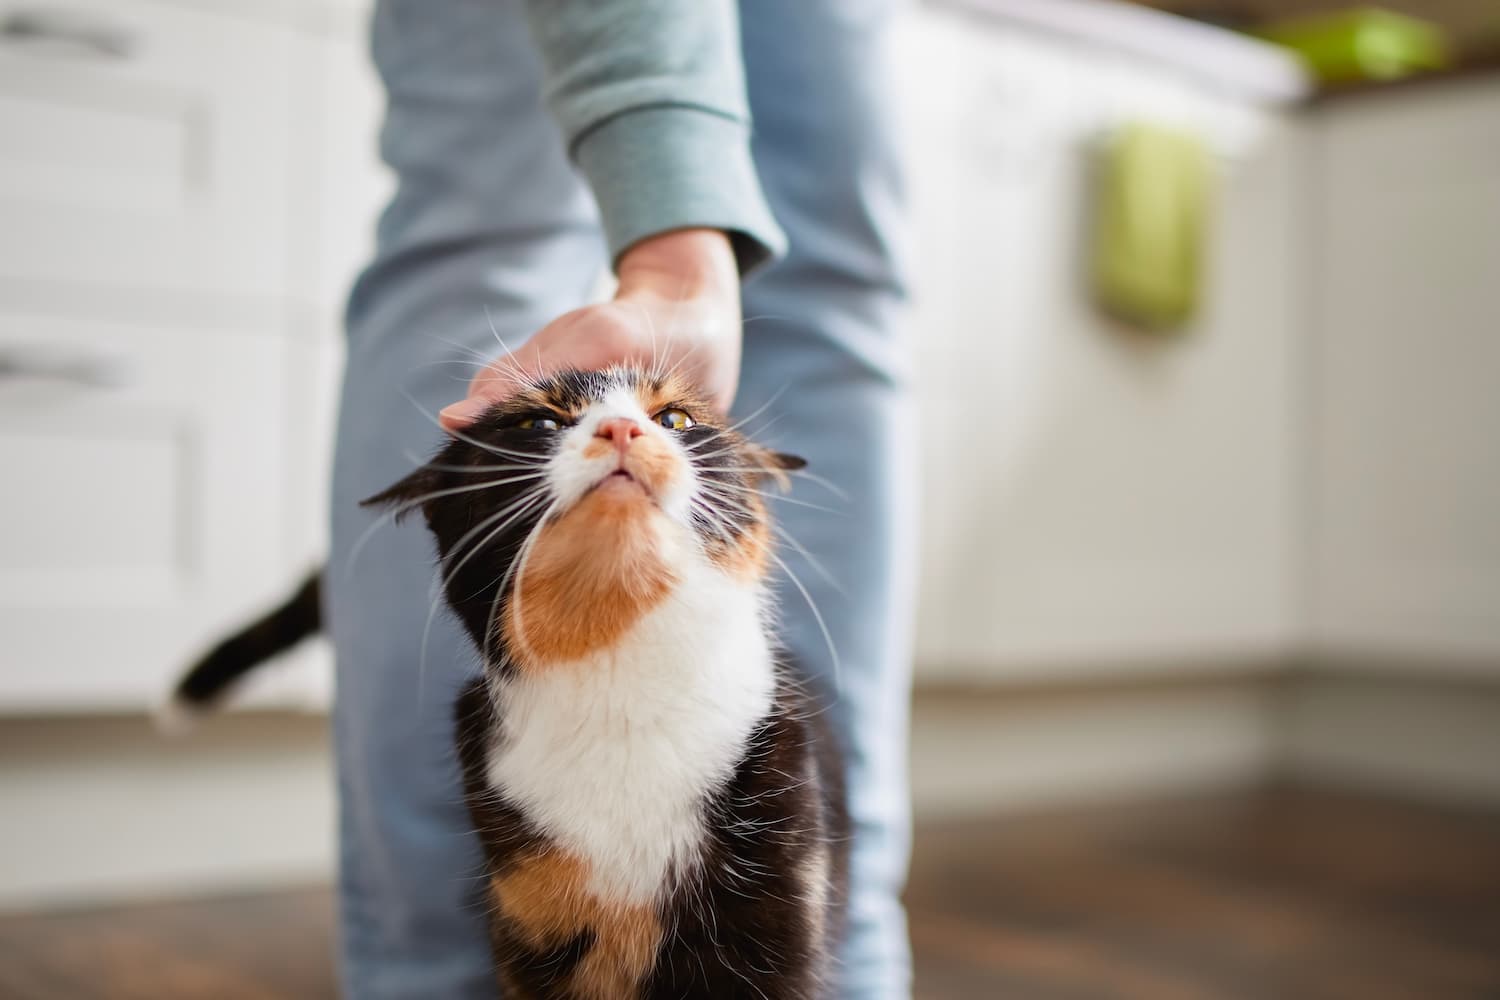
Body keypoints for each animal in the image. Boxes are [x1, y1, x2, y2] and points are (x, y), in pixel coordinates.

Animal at [170, 367, 852, 1000]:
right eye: (539, 422)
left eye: (676, 419)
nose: (622, 428)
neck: (624, 695)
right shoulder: (531, 913)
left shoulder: (777, 902)